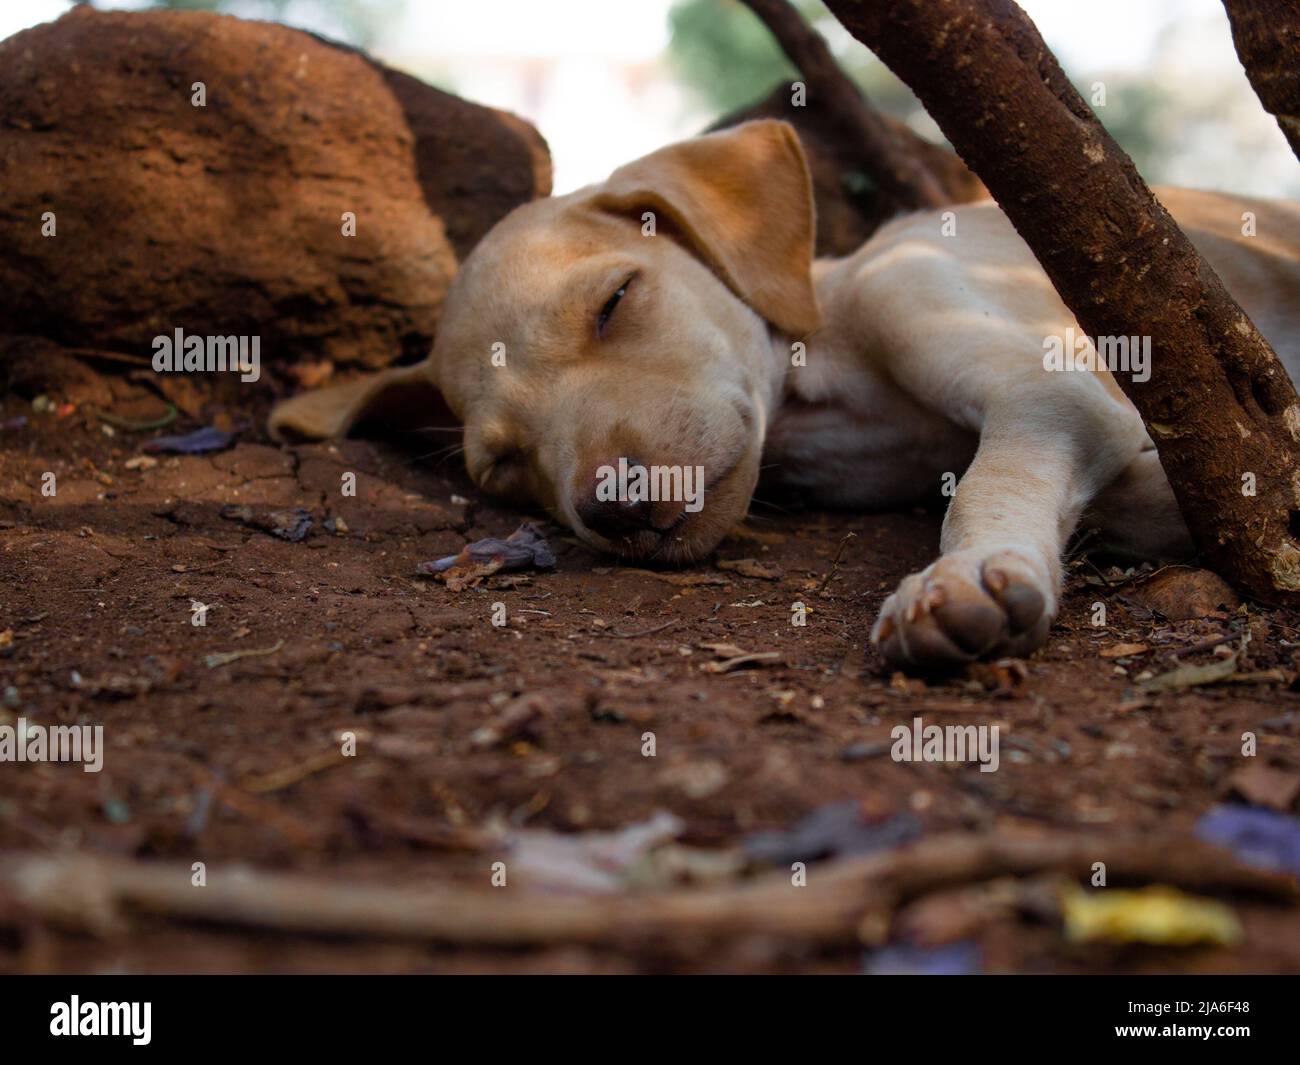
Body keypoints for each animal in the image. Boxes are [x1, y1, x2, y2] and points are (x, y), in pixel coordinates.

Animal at [271, 120, 1300, 670]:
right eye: (503, 465)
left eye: (615, 301)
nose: (614, 507)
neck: (822, 386)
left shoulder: (1041, 382)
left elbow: (988, 481)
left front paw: (966, 578)